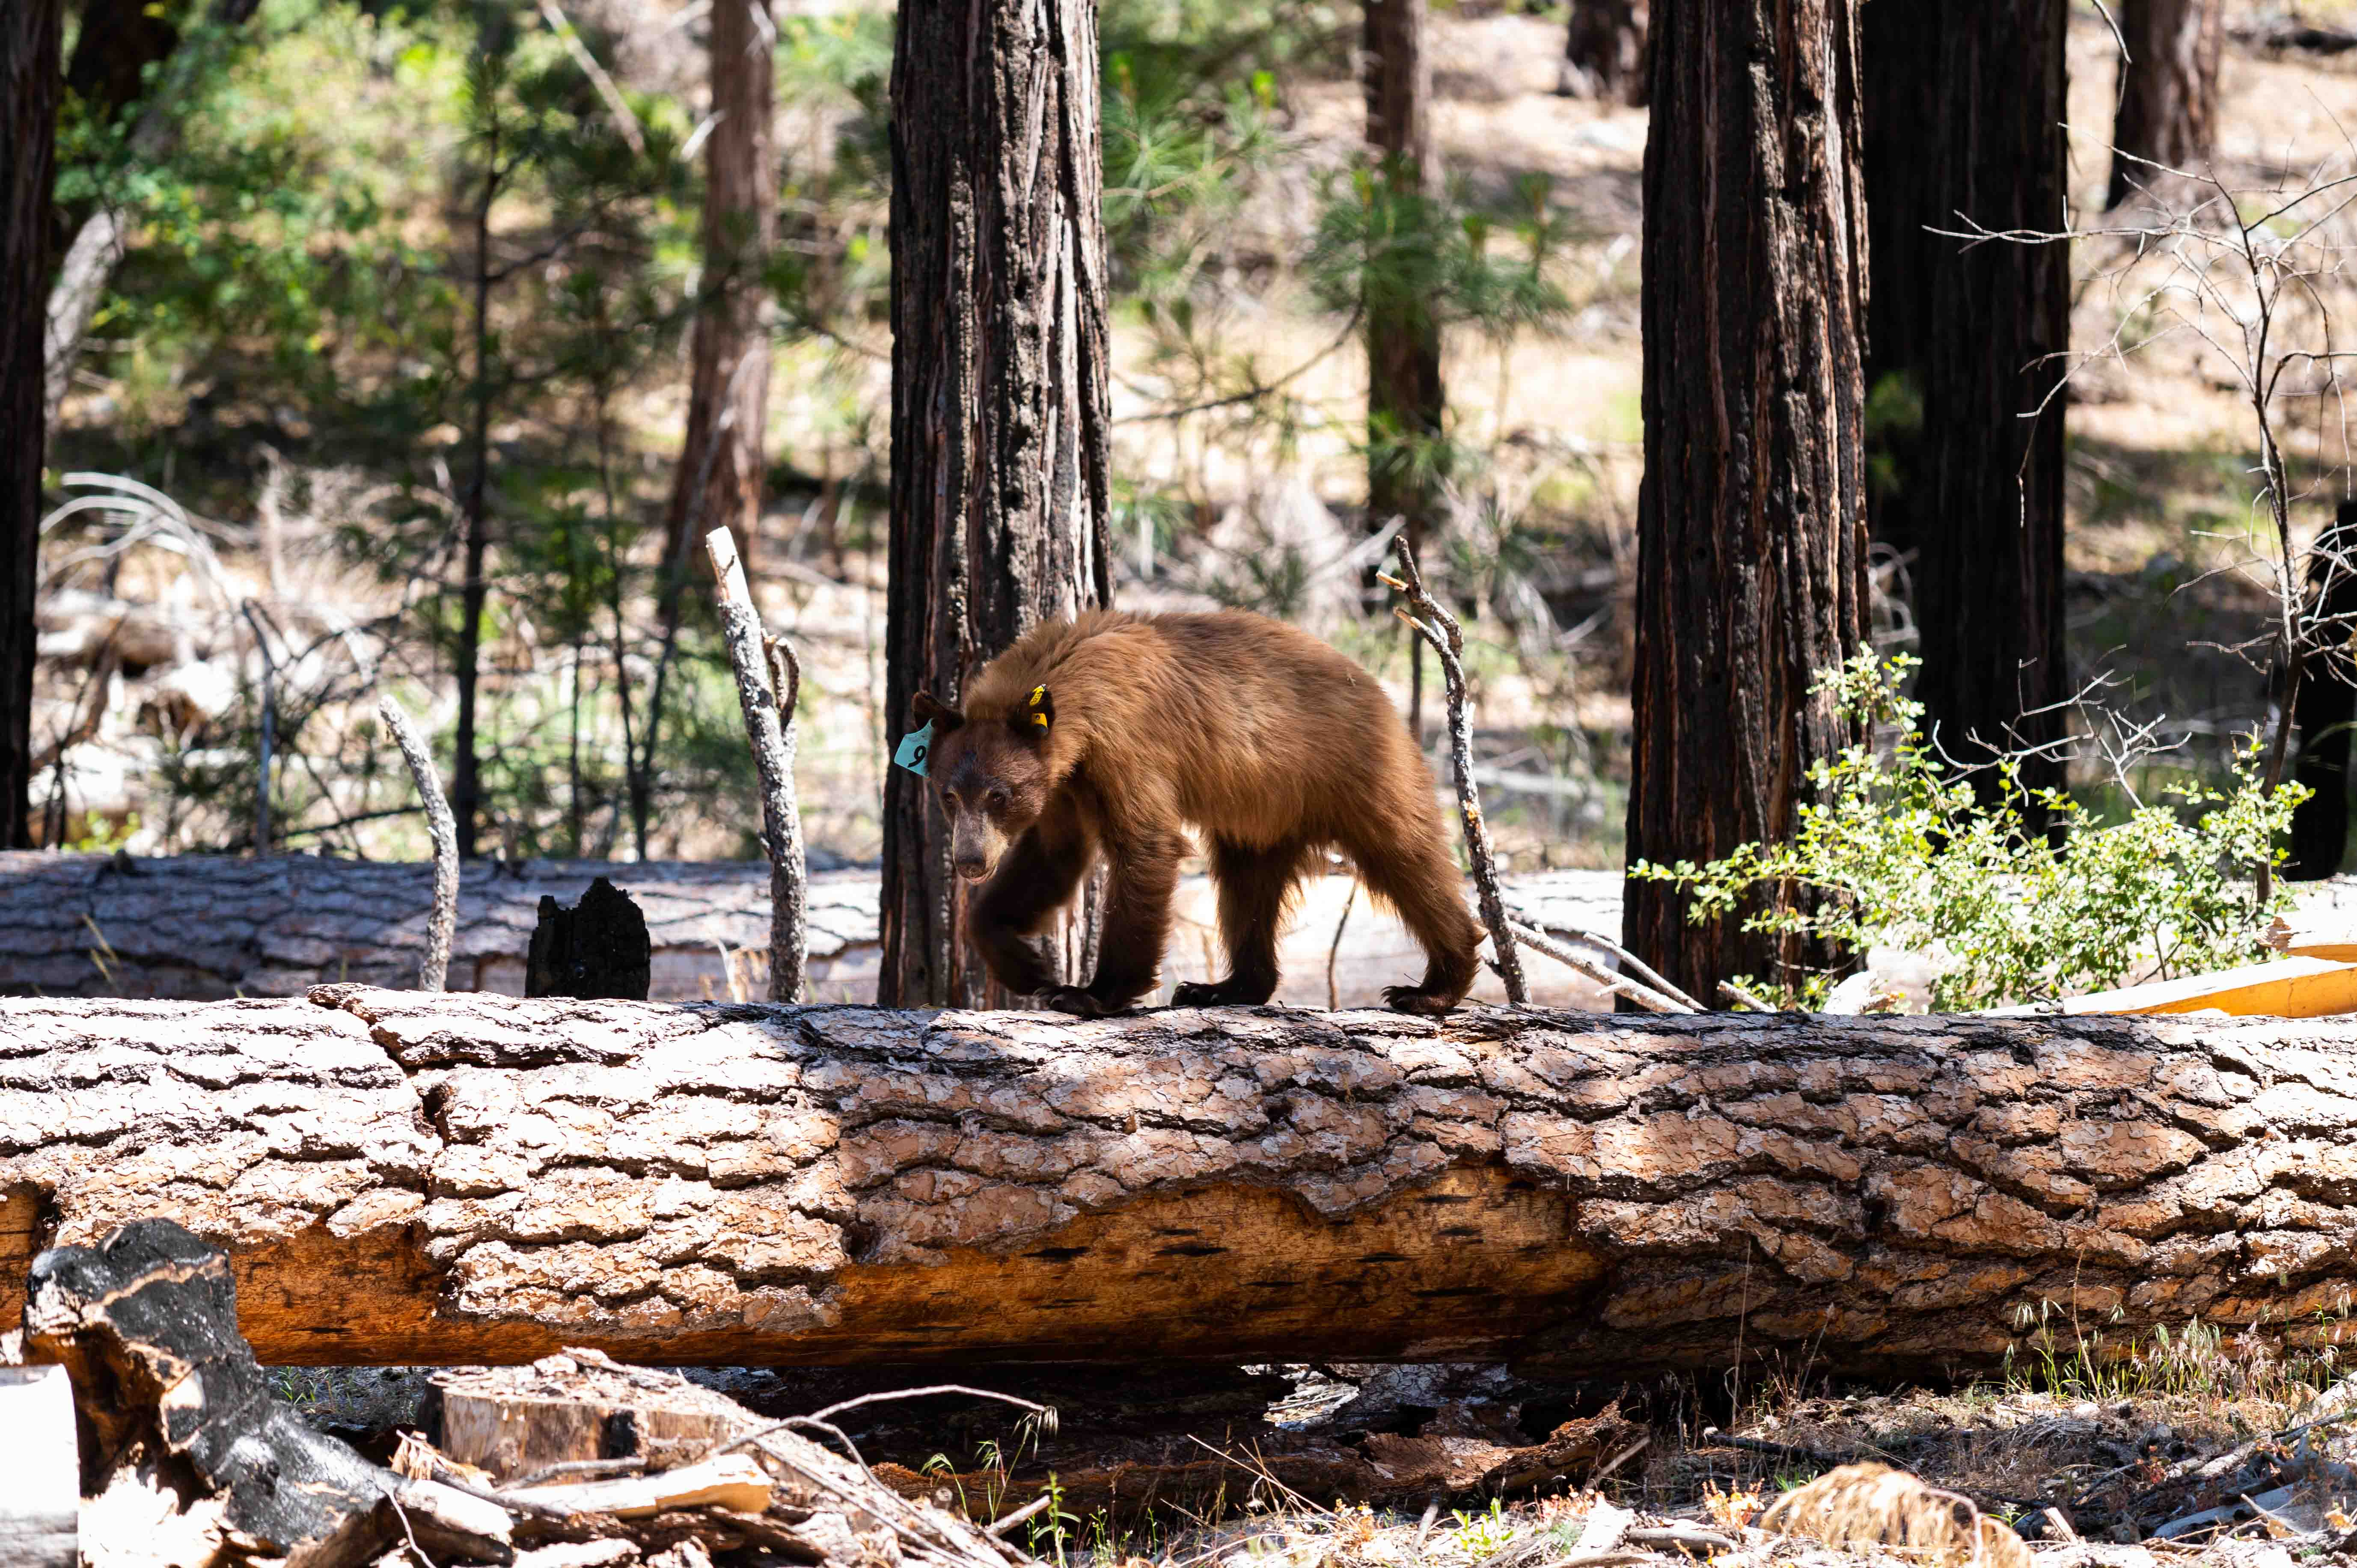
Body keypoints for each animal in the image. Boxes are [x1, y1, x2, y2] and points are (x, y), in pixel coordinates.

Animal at [910, 599, 1480, 1014]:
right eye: (948, 795)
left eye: (998, 795)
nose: (970, 862)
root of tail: (1375, 690)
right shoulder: (1062, 786)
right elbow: (1052, 858)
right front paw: (1025, 965)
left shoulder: (1126, 747)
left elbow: (1145, 847)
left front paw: (1090, 992)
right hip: (1261, 816)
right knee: (1246, 891)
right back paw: (1224, 987)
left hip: (1355, 773)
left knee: (1407, 860)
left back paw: (1432, 987)